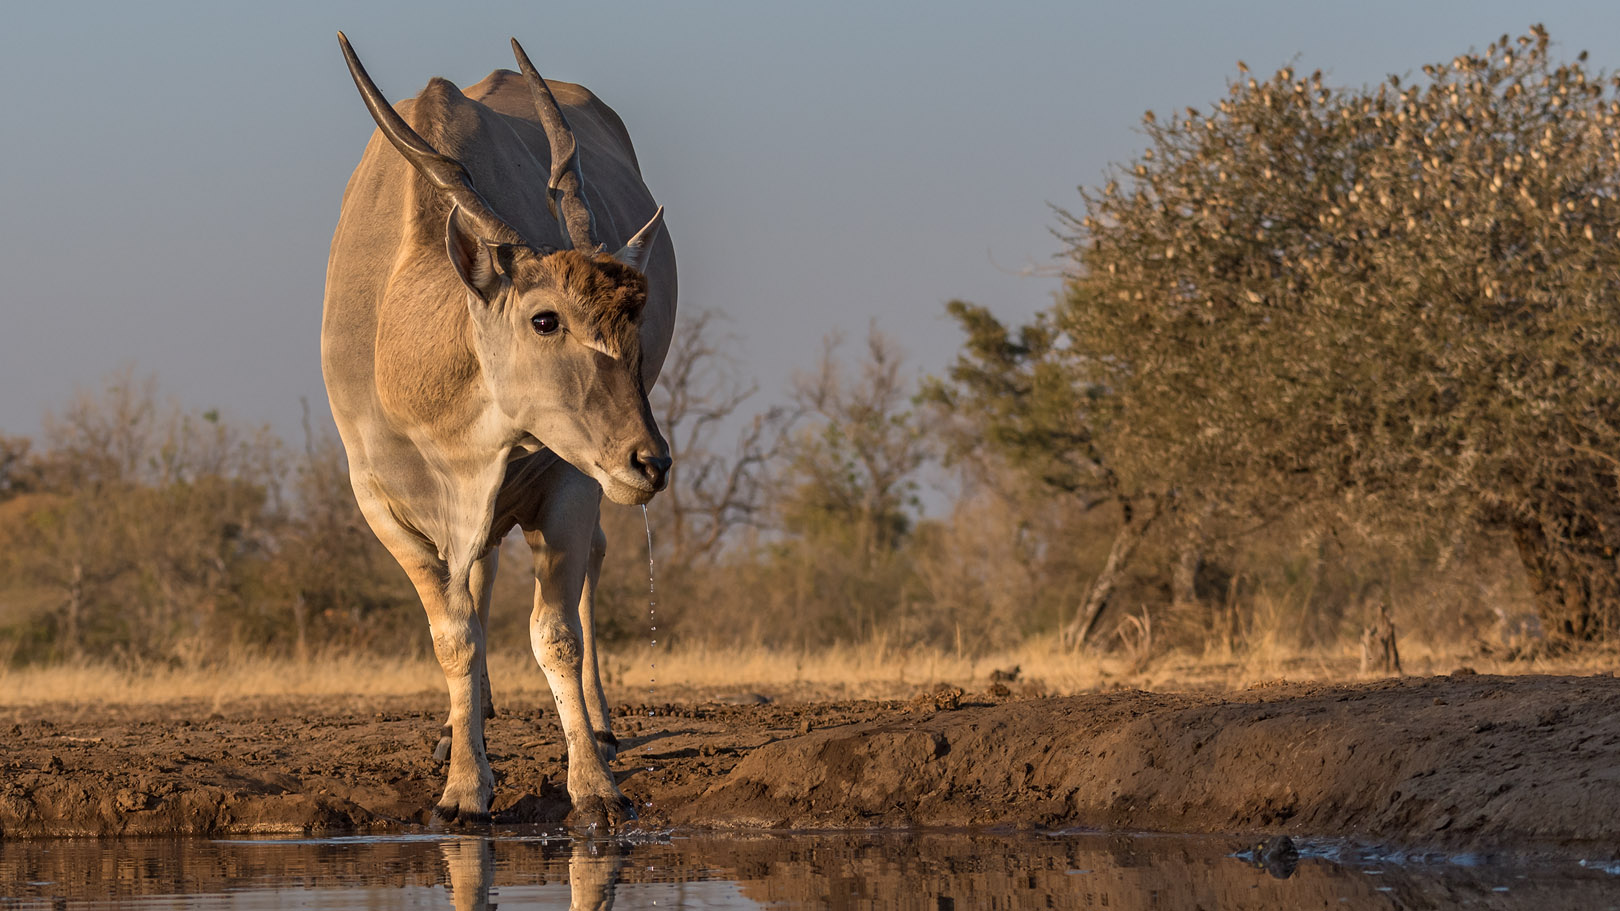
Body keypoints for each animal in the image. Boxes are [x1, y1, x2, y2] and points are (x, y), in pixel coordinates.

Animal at [319, 33, 673, 823]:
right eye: (545, 319)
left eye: (634, 317)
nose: (652, 461)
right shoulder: (379, 499)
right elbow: (455, 633)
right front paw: (461, 786)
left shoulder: (569, 474)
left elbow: (555, 633)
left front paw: (593, 786)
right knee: (475, 584)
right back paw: (465, 726)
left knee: (589, 564)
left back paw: (601, 727)